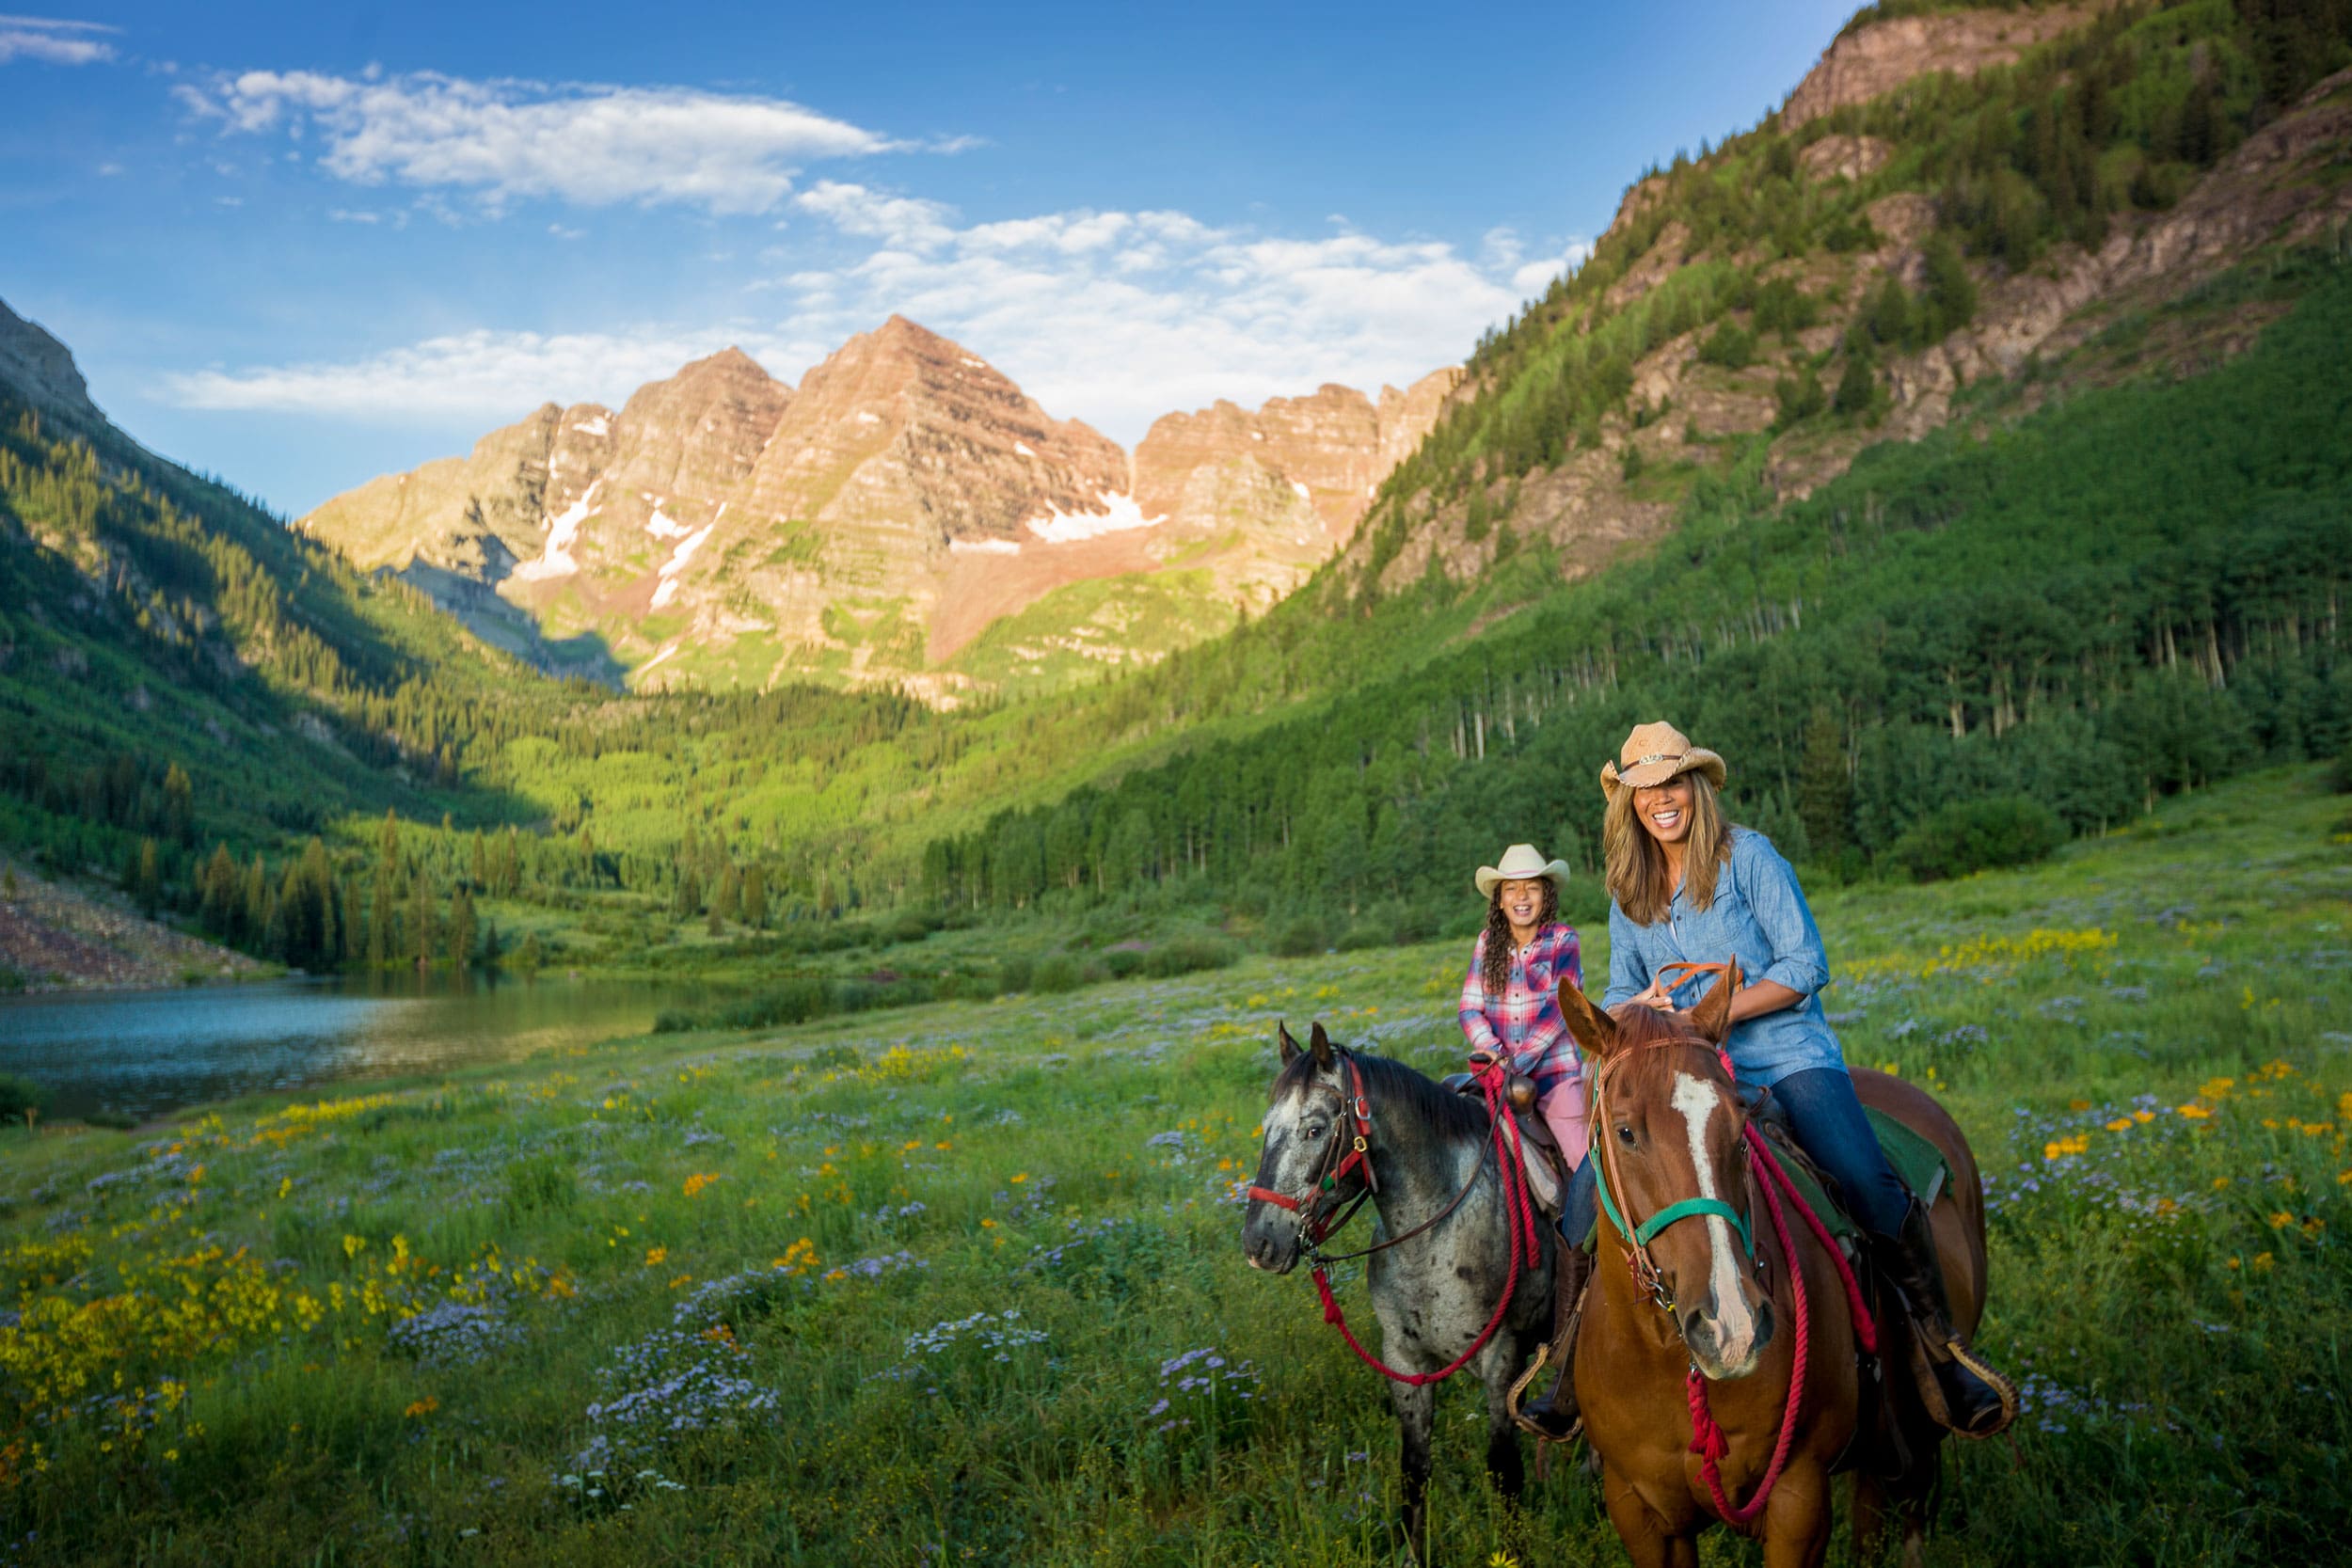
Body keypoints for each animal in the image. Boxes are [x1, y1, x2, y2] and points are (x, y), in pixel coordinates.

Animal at [1242, 1029, 1552, 1560]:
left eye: (1315, 1130)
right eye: (1265, 1126)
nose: (1258, 1244)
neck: (1434, 1232)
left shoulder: (1503, 1359)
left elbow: (1504, 1472)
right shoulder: (1405, 1361)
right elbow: (1414, 1469)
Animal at [1562, 968, 1985, 1568]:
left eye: (1739, 1129)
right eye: (1625, 1132)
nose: (1730, 1327)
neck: (1670, 1362)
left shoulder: (1797, 1498)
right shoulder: (1638, 1510)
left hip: (1914, 1432)